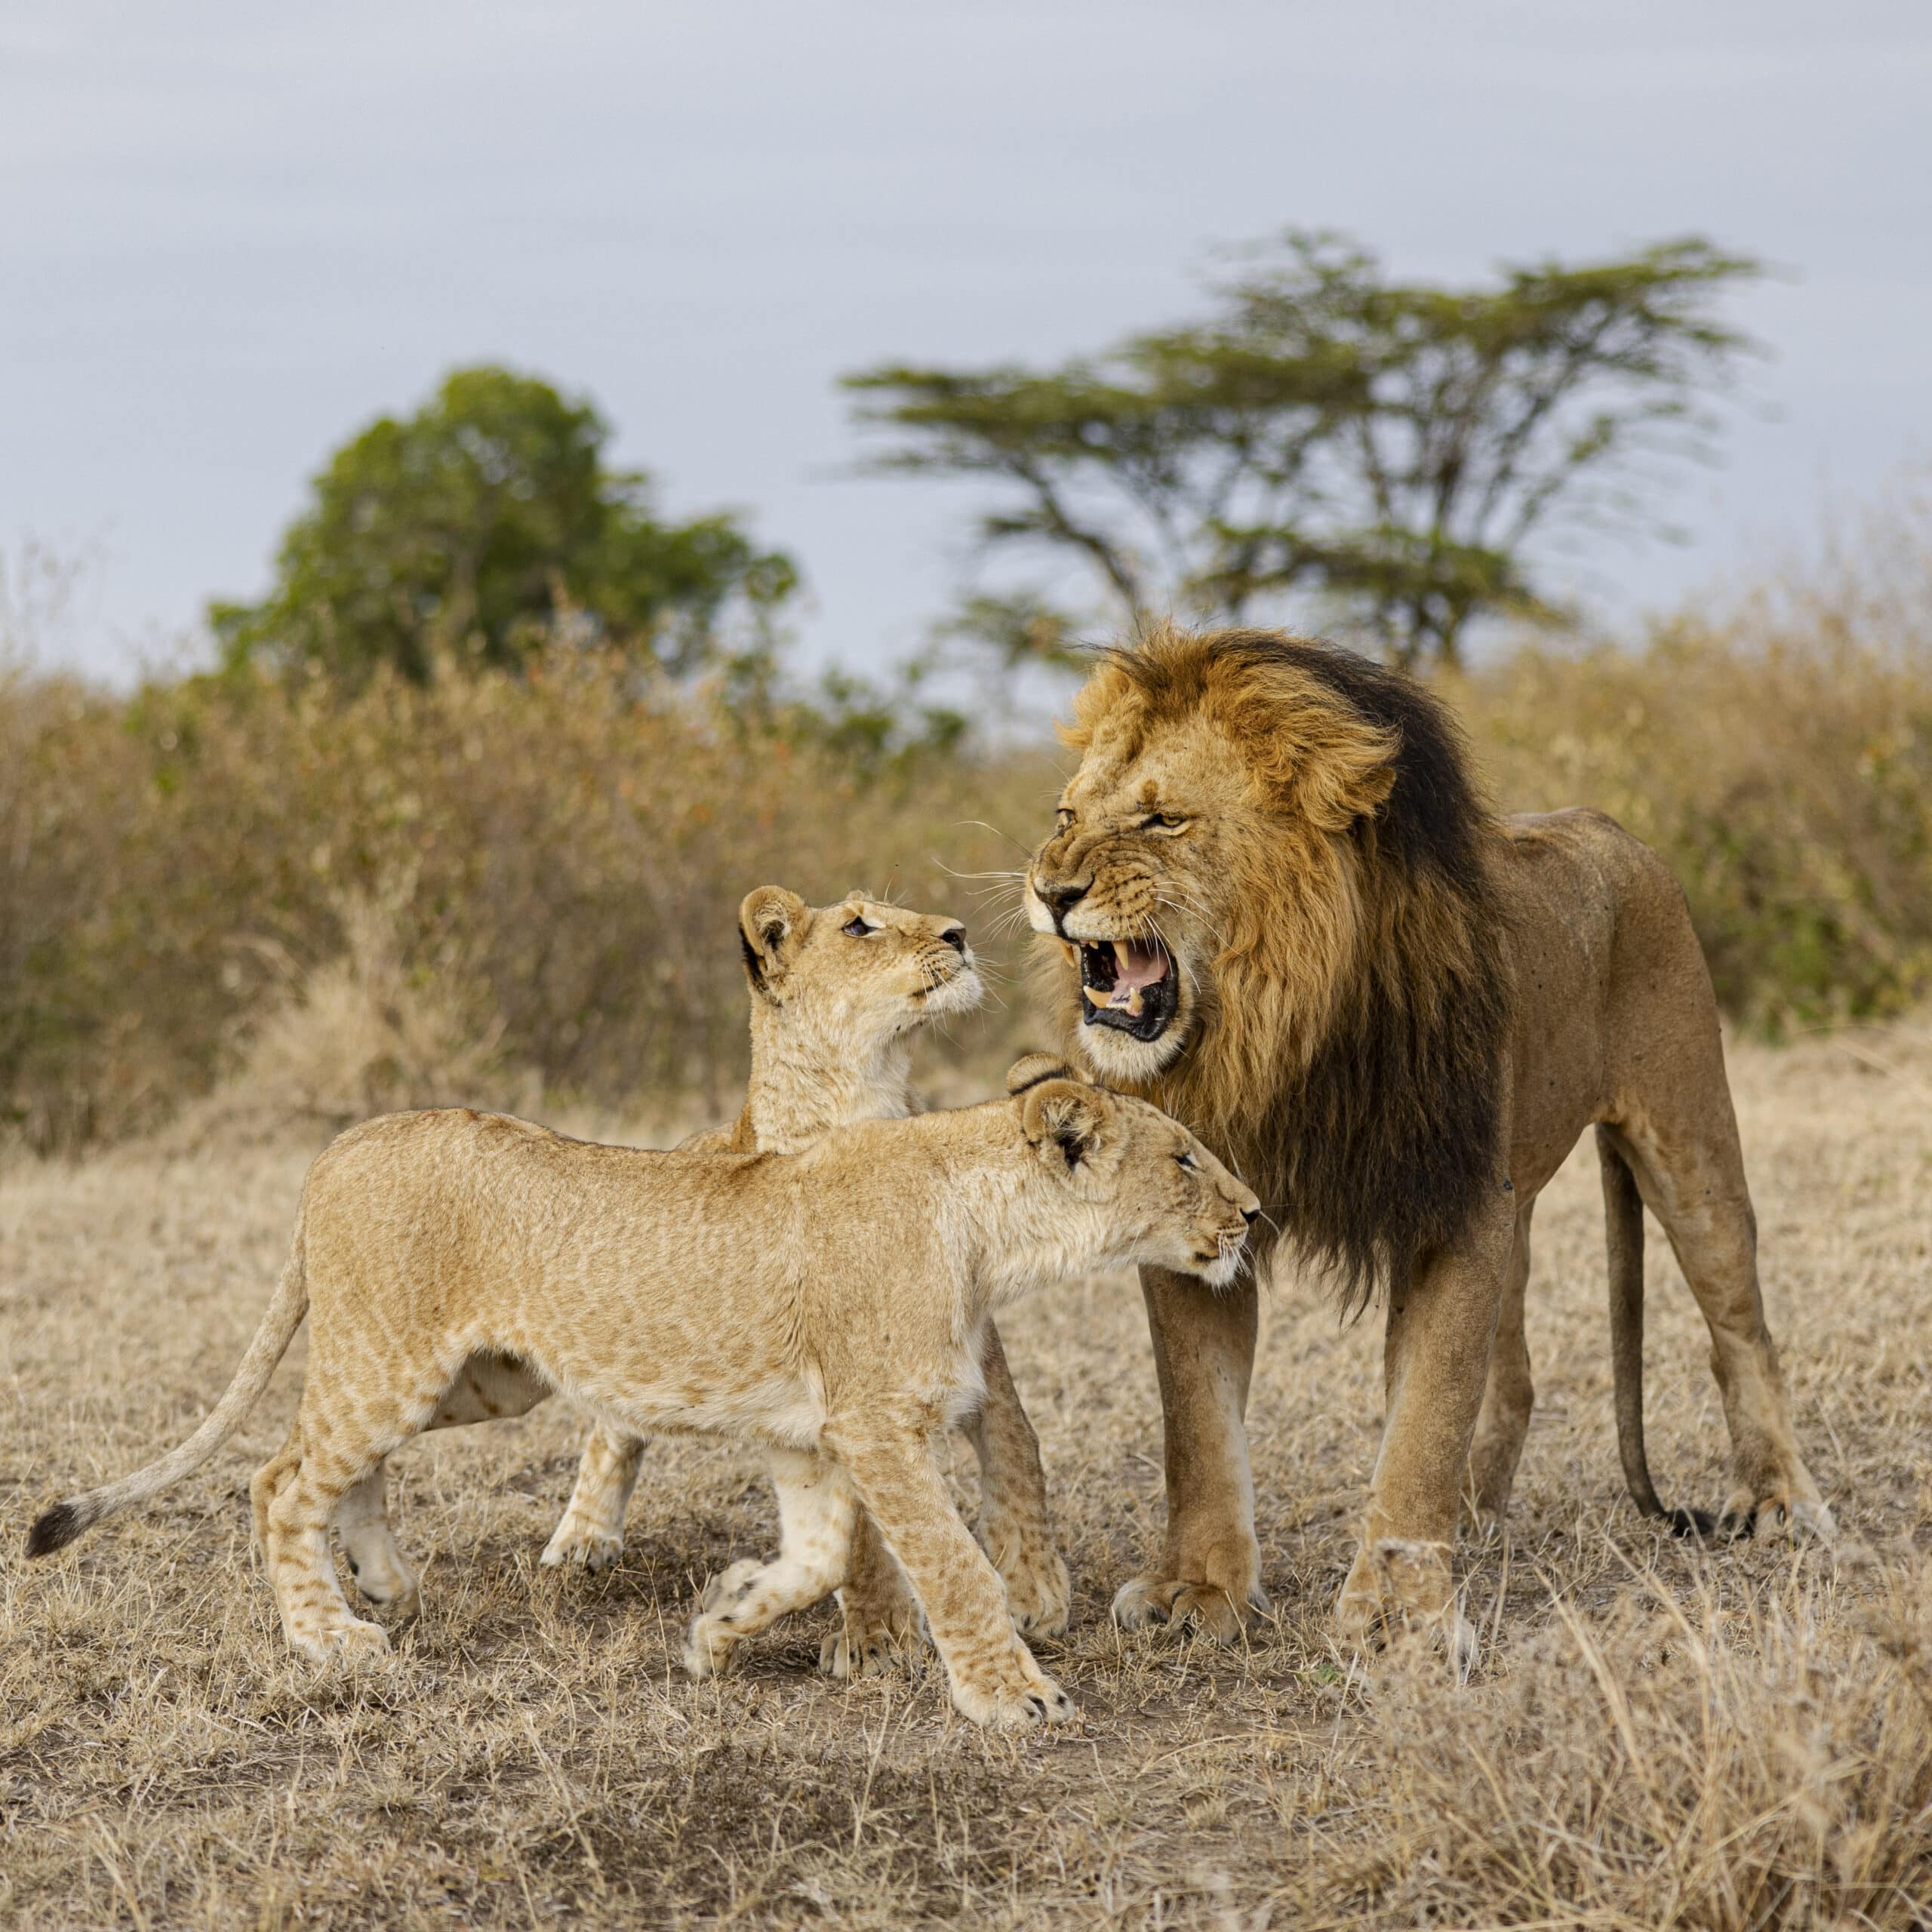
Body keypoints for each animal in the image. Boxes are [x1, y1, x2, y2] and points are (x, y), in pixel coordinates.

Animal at [37, 1066, 1267, 1730]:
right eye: (1185, 1159)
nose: (1255, 1214)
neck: (988, 1232)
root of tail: (342, 1143)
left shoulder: (815, 1438)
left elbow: (820, 1555)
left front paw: (722, 1627)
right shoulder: (877, 1423)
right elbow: (953, 1567)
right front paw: (1014, 1697)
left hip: (470, 1377)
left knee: (333, 1465)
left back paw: (385, 1582)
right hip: (389, 1358)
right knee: (278, 1476)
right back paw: (331, 1634)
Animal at [1027, 626, 1823, 1654]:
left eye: (1162, 821)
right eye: (1066, 813)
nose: (1049, 890)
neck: (1280, 1034)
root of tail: (1613, 827)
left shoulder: (1448, 1209)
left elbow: (1426, 1411)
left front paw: (1399, 1614)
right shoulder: (1203, 1213)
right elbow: (1197, 1423)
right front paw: (1197, 1591)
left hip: (1686, 1135)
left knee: (1739, 1323)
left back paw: (1777, 1498)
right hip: (1519, 1195)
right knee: (1513, 1375)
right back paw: (1477, 1509)